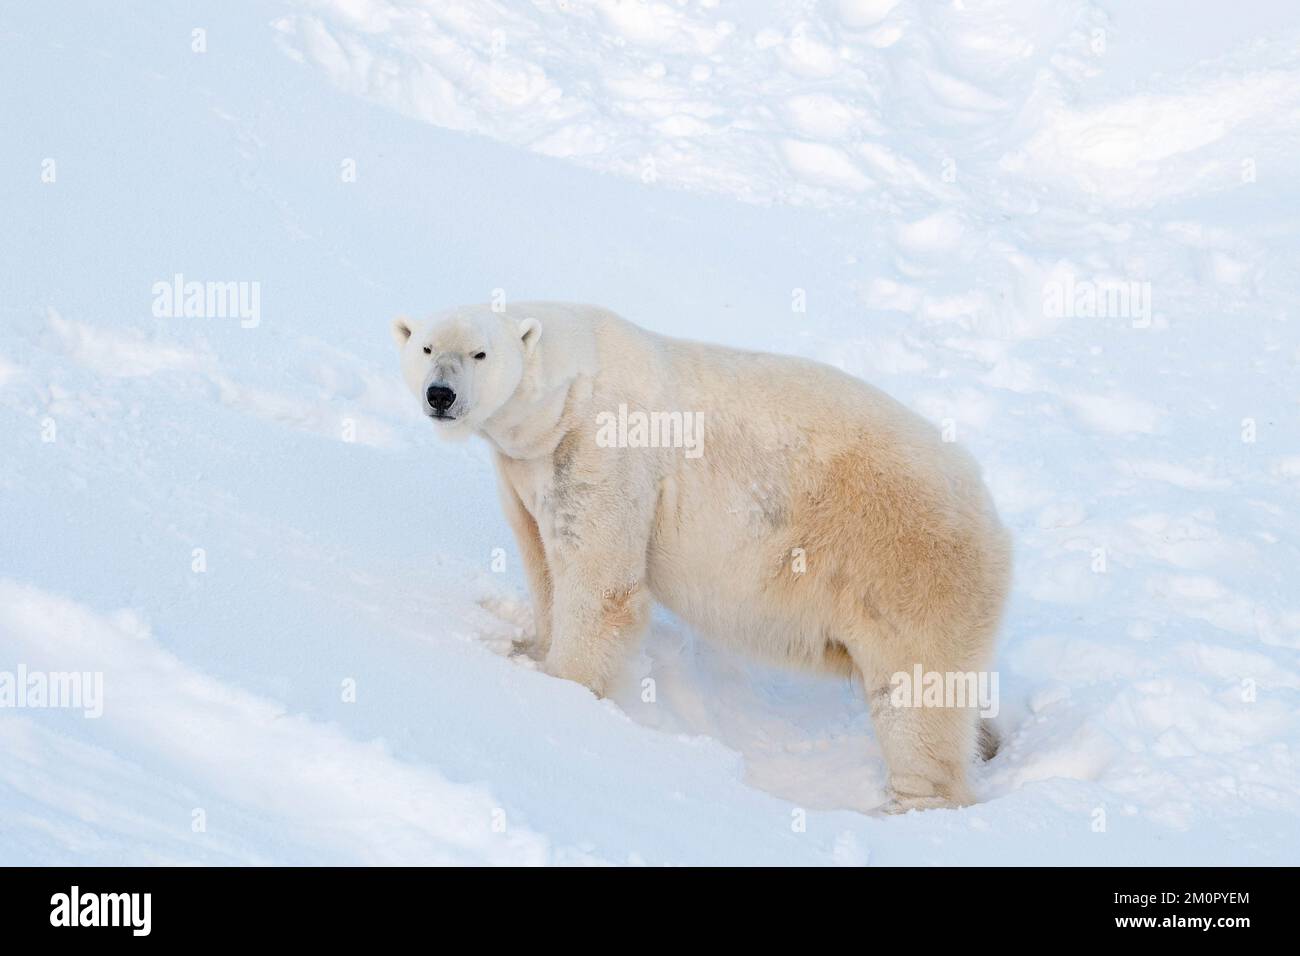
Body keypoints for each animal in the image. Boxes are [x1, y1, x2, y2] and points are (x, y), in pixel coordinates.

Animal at [390, 300, 1008, 806]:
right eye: (426, 348)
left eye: (480, 352)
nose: (440, 395)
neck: (566, 393)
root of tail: (995, 522)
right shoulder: (527, 471)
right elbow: (543, 560)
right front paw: (530, 648)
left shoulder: (603, 451)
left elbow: (602, 583)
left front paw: (561, 690)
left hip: (906, 562)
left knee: (916, 691)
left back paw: (909, 802)